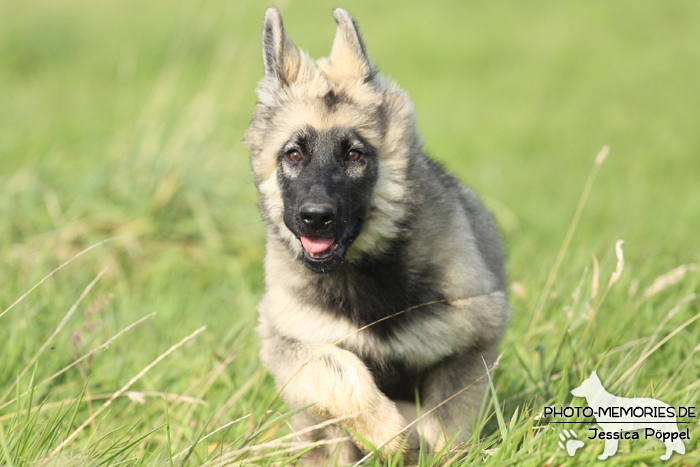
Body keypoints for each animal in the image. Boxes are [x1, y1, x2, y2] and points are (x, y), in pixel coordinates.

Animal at [246, 7, 508, 464]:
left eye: (354, 154)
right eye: (294, 154)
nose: (316, 218)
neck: (362, 275)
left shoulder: (471, 337)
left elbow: (446, 429)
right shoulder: (291, 344)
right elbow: (342, 373)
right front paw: (390, 435)